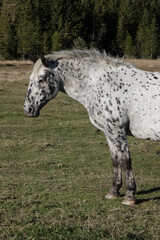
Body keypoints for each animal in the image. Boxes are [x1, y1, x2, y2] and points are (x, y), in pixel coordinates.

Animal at [23, 49, 160, 205]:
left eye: (41, 79)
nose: (28, 109)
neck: (101, 85)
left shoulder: (118, 132)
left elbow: (125, 161)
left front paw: (130, 196)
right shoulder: (109, 133)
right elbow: (115, 161)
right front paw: (113, 191)